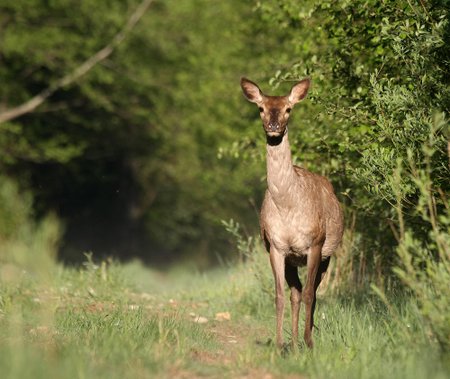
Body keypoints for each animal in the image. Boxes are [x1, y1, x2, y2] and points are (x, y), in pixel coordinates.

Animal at [241, 77, 342, 350]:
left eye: (288, 109)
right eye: (261, 108)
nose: (274, 126)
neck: (288, 207)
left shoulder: (315, 243)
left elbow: (309, 293)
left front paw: (310, 342)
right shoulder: (276, 246)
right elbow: (279, 295)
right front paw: (279, 344)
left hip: (327, 254)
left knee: (310, 292)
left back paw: (304, 339)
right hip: (292, 260)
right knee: (294, 292)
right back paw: (294, 342)